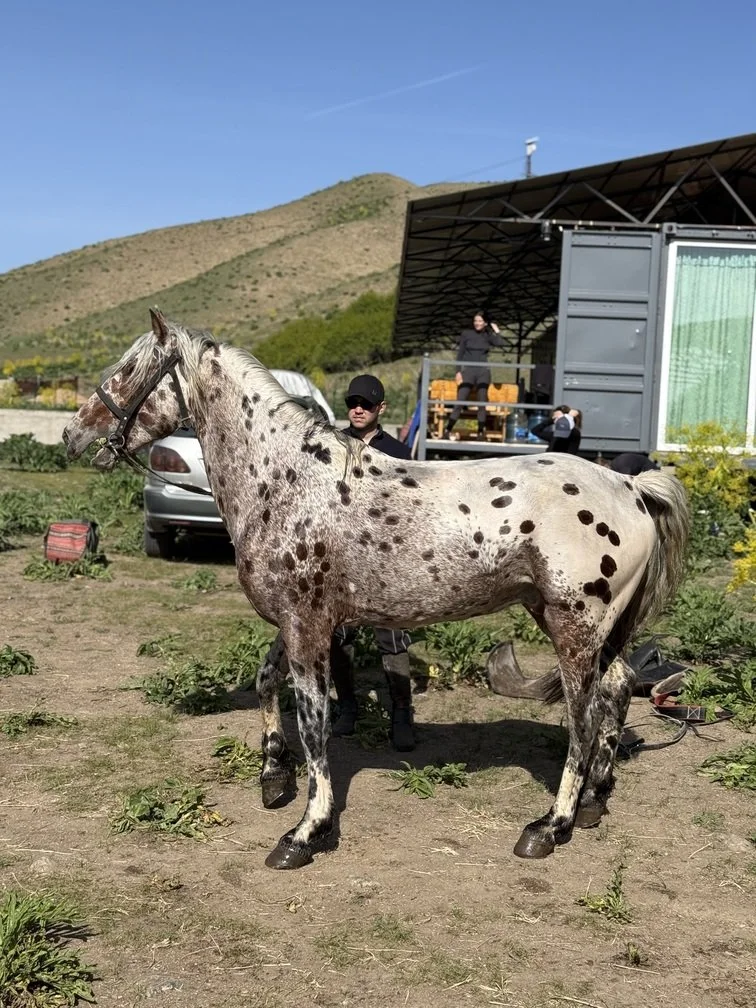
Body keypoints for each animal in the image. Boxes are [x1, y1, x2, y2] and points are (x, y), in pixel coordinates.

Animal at [63, 310, 690, 870]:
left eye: (126, 370)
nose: (73, 434)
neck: (287, 481)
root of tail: (630, 486)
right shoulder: (303, 623)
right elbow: (267, 682)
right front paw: (273, 776)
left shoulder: (306, 626)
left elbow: (314, 723)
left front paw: (305, 832)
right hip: (585, 625)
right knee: (616, 689)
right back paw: (593, 799)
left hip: (573, 626)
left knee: (583, 716)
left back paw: (549, 826)